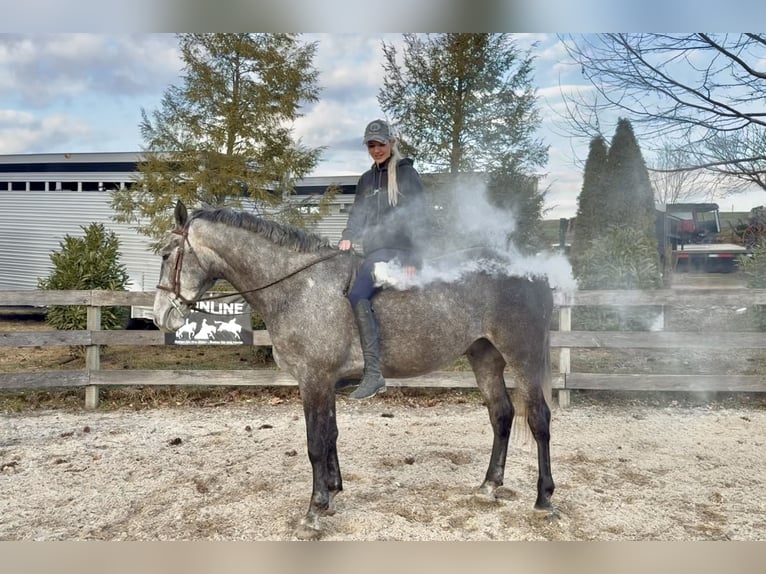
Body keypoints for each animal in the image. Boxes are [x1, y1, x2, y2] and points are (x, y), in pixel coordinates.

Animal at [153, 200, 556, 540]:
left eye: (166, 254)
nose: (160, 316)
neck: (298, 287)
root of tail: (531, 271)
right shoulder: (325, 381)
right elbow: (330, 435)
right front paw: (332, 494)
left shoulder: (314, 379)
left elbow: (316, 443)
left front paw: (314, 512)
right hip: (483, 355)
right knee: (501, 414)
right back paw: (489, 486)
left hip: (523, 355)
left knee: (539, 418)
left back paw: (544, 499)